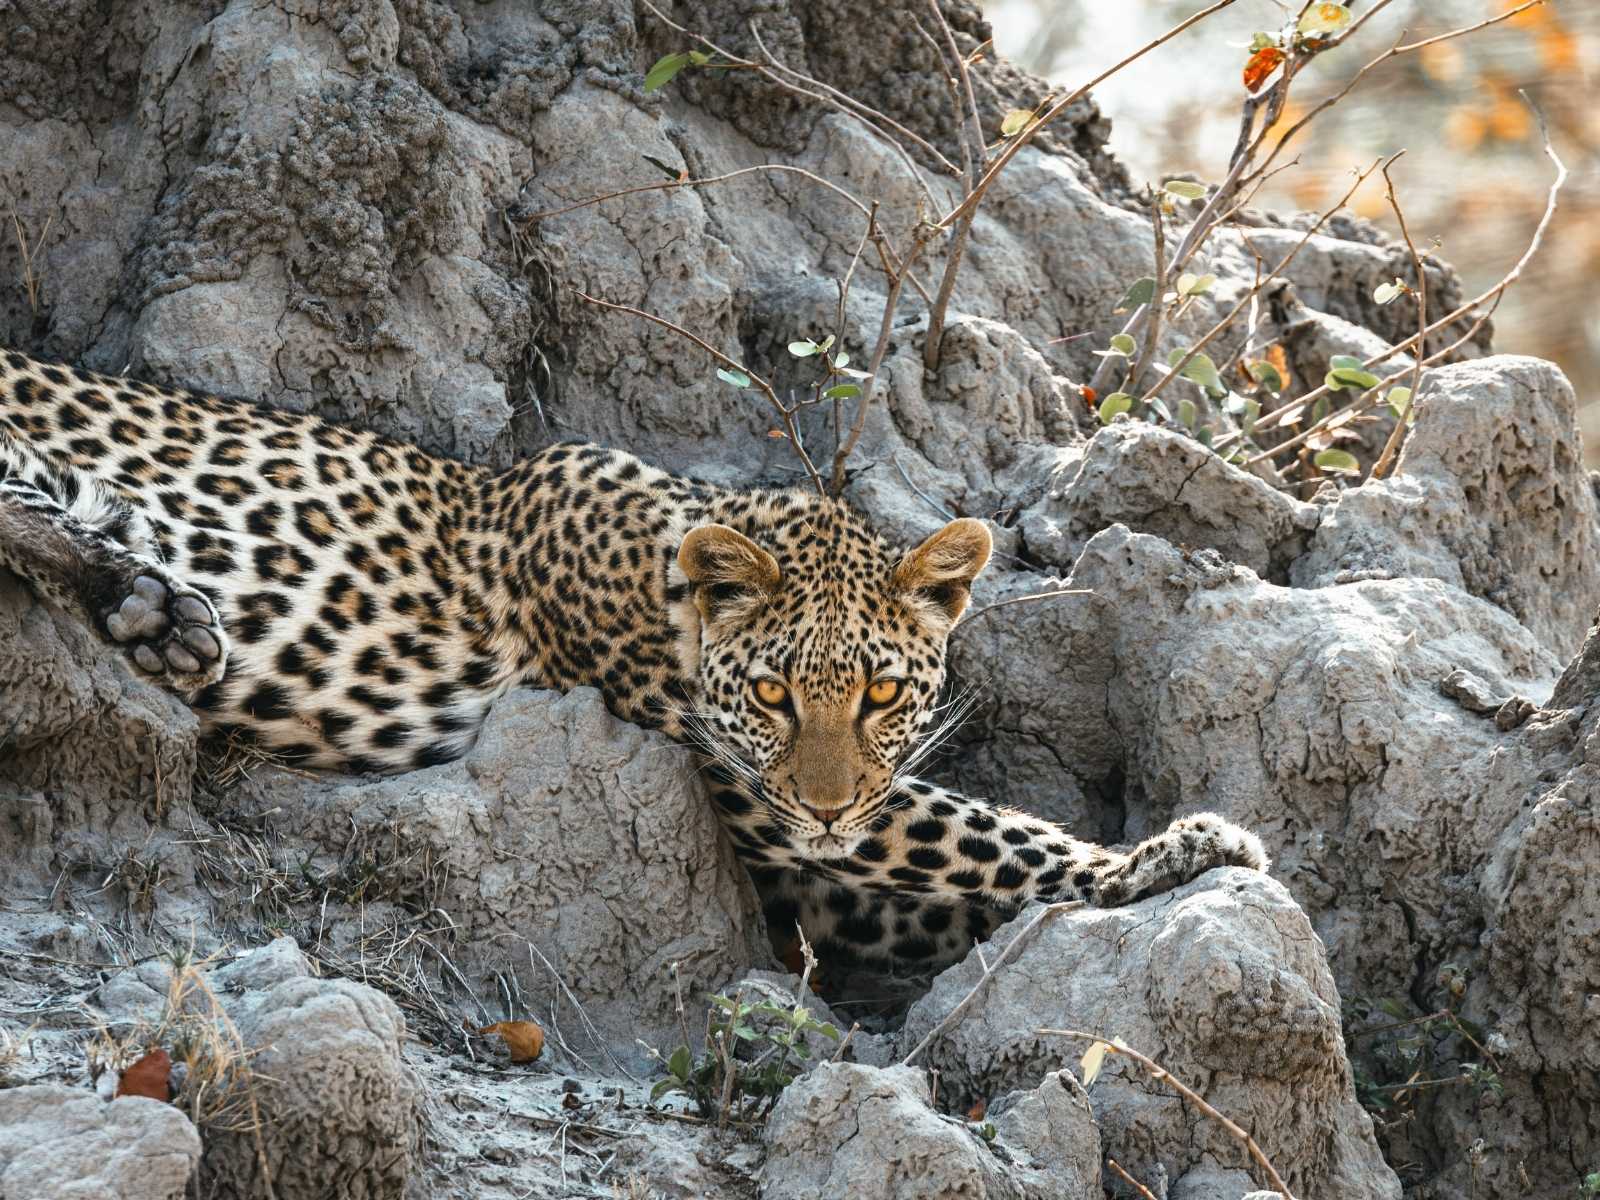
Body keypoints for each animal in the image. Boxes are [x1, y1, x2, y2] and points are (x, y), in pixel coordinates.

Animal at [0, 348, 1269, 969]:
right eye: (772, 694)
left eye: (879, 693)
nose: (825, 809)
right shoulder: (749, 795)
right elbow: (983, 838)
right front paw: (1172, 854)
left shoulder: (813, 858)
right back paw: (155, 606)